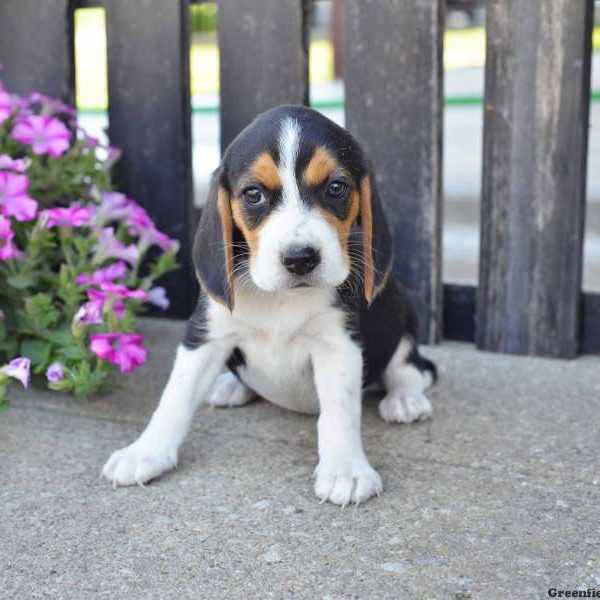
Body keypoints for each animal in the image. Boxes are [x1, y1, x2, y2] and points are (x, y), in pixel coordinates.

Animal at [103, 105, 436, 504]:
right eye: (253, 195)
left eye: (336, 188)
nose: (300, 258)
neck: (281, 297)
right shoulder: (206, 335)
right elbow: (175, 398)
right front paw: (144, 452)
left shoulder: (337, 344)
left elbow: (338, 412)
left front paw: (345, 470)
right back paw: (231, 387)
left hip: (402, 313)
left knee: (411, 369)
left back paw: (404, 400)